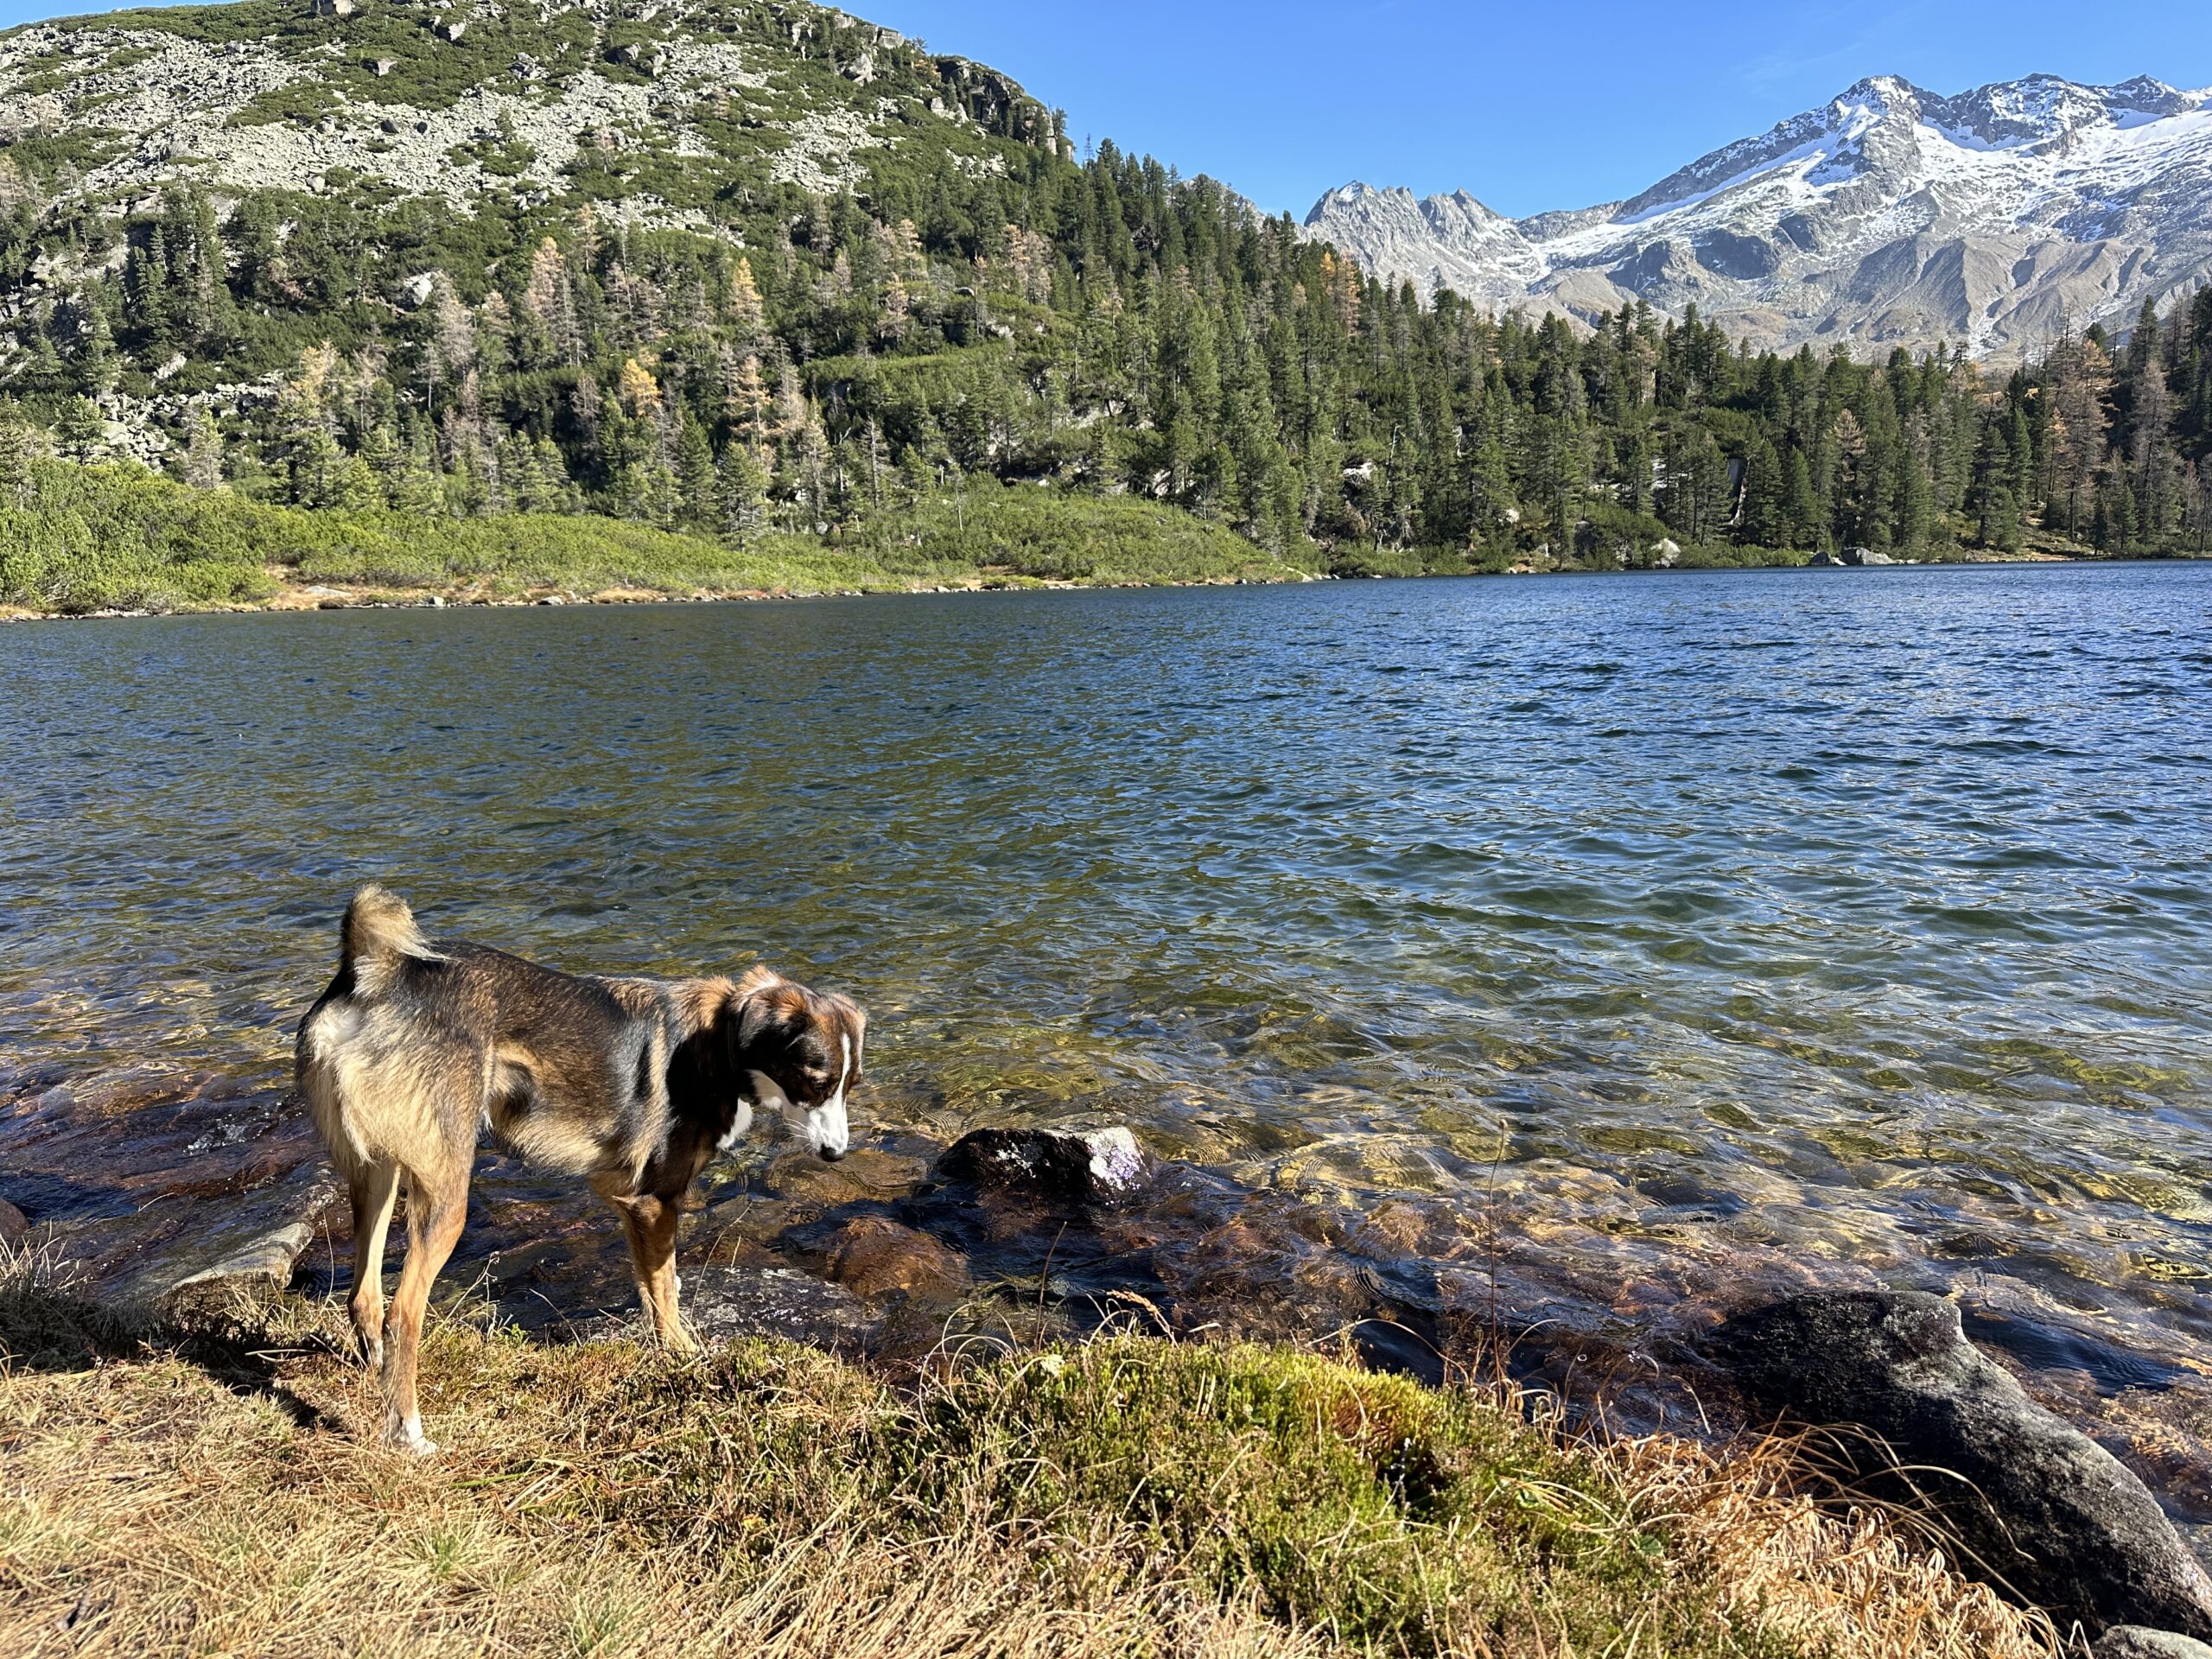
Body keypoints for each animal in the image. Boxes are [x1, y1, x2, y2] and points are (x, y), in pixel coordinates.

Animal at [298, 889, 867, 1451]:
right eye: (817, 1081)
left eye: (850, 1085)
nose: (837, 1154)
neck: (721, 1041)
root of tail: (377, 969)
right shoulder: (656, 1202)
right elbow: (666, 1292)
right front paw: (687, 1358)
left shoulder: (627, 1201)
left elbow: (651, 1288)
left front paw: (660, 1351)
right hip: (445, 1194)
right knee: (402, 1313)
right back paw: (407, 1430)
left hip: (377, 1172)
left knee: (363, 1297)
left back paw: (376, 1376)